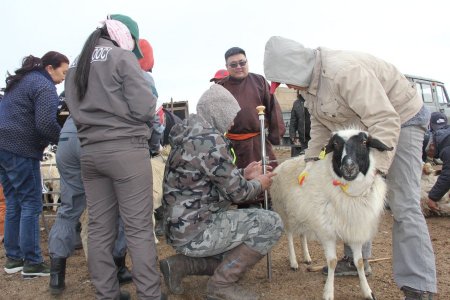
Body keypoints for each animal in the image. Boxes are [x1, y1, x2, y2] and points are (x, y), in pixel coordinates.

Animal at [270, 129, 394, 300]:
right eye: (335, 144)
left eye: (364, 142)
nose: (349, 167)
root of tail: (283, 163)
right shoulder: (327, 231)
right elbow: (332, 262)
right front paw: (328, 292)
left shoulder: (355, 229)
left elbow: (359, 261)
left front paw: (367, 291)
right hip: (285, 211)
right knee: (289, 235)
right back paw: (293, 262)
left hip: (304, 214)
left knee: (302, 234)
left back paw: (306, 257)